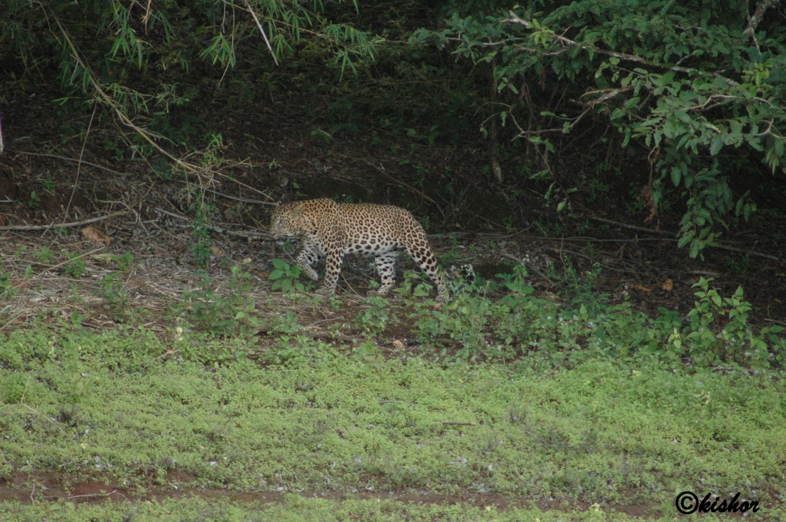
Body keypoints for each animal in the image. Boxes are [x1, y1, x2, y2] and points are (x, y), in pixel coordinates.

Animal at [270, 197, 448, 298]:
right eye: (272, 219)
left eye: (282, 222)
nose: (271, 233)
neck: (306, 227)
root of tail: (410, 215)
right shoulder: (314, 250)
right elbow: (299, 260)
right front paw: (312, 274)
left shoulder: (335, 249)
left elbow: (331, 272)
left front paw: (327, 291)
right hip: (385, 254)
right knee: (389, 278)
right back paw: (378, 293)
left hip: (419, 249)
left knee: (438, 273)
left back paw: (443, 296)